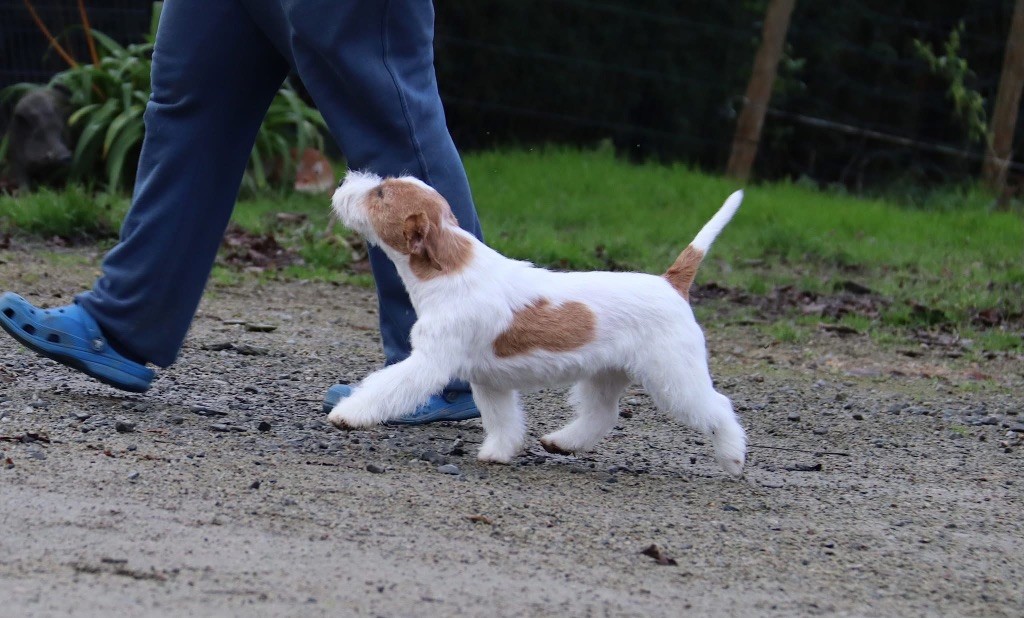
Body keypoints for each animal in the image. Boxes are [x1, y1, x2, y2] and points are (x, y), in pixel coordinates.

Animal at [331, 172, 749, 478]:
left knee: (718, 407)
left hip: (674, 376)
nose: (343, 184)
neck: (450, 268)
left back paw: (732, 458)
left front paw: (346, 414)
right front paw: (499, 452)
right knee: (602, 415)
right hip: (606, 373)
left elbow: (385, 387)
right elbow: (502, 419)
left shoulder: (428, 362)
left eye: (381, 194)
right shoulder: (488, 380)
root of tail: (670, 283)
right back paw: (561, 443)